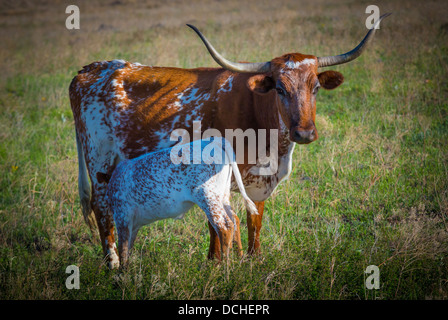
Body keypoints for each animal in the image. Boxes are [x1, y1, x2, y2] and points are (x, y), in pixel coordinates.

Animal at [106, 138, 258, 268]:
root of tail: (214, 141)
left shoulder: (122, 216)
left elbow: (123, 250)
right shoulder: (132, 224)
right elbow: (128, 249)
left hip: (207, 196)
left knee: (224, 227)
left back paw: (226, 269)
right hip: (223, 195)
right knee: (235, 219)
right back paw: (239, 260)